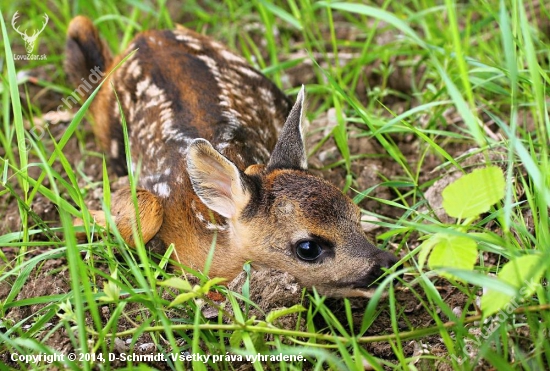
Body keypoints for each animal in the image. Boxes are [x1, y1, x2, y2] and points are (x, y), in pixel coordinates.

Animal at [66, 16, 402, 298]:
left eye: (356, 214)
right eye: (308, 247)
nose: (387, 264)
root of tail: (147, 35)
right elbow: (145, 209)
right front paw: (78, 220)